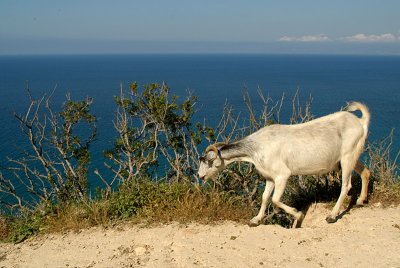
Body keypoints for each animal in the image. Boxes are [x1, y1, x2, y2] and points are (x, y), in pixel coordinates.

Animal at [198, 102, 370, 226]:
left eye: (209, 161)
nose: (200, 176)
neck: (255, 149)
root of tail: (360, 122)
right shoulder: (270, 177)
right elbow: (265, 197)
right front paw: (256, 219)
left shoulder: (282, 176)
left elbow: (275, 199)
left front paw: (298, 215)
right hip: (351, 156)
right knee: (365, 171)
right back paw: (361, 200)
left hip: (347, 157)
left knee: (346, 185)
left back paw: (332, 216)